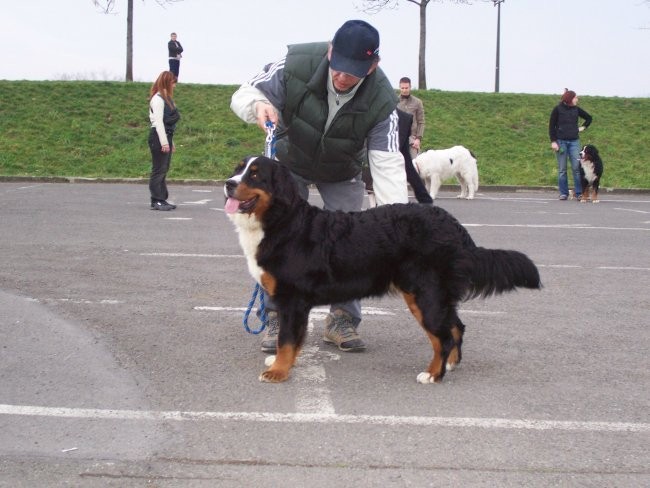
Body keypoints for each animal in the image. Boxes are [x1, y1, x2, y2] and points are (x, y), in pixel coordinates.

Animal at [225, 156, 540, 386]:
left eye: (255, 175)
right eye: (238, 169)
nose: (228, 183)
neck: (283, 221)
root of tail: (454, 227)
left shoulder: (293, 299)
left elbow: (288, 340)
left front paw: (279, 370)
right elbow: (290, 338)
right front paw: (281, 362)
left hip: (425, 294)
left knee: (444, 336)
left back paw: (433, 374)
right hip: (430, 295)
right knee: (455, 327)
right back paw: (450, 364)